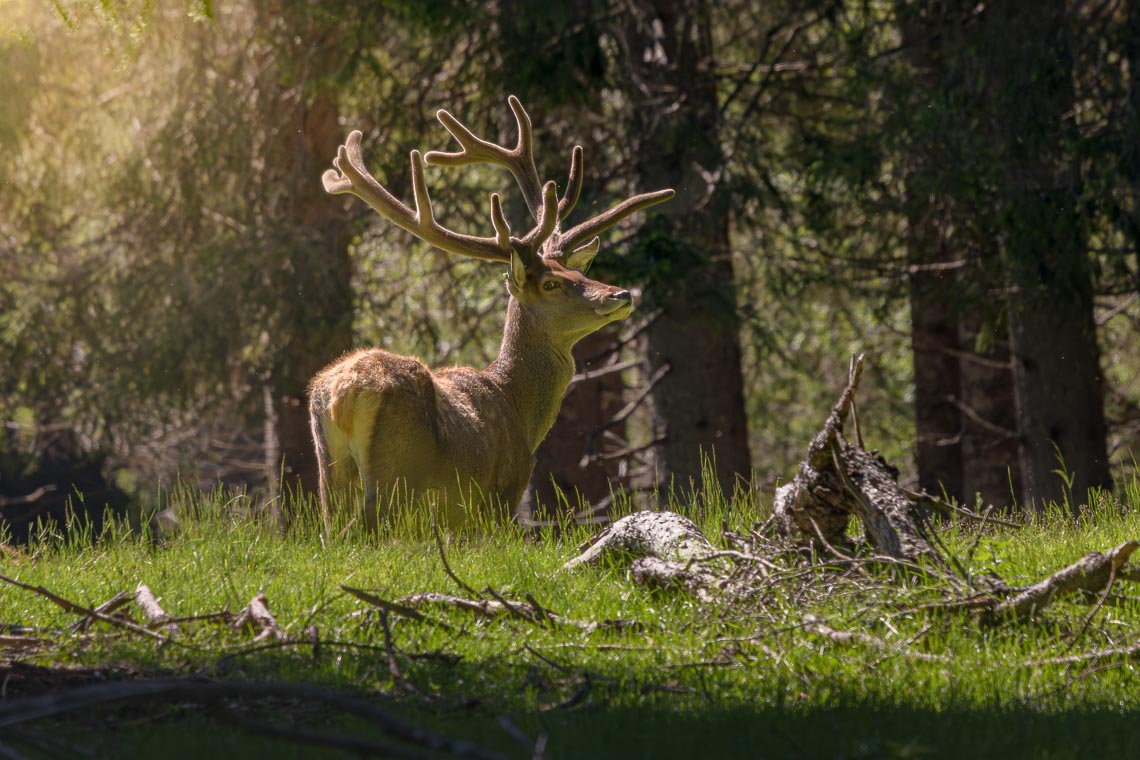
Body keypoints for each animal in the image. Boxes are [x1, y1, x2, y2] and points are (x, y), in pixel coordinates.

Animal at [307, 97, 670, 533]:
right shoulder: (501, 491)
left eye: (578, 272)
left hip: (330, 472)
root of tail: (343, 394)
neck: (518, 408)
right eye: (551, 283)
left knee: (331, 530)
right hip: (397, 472)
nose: (621, 293)